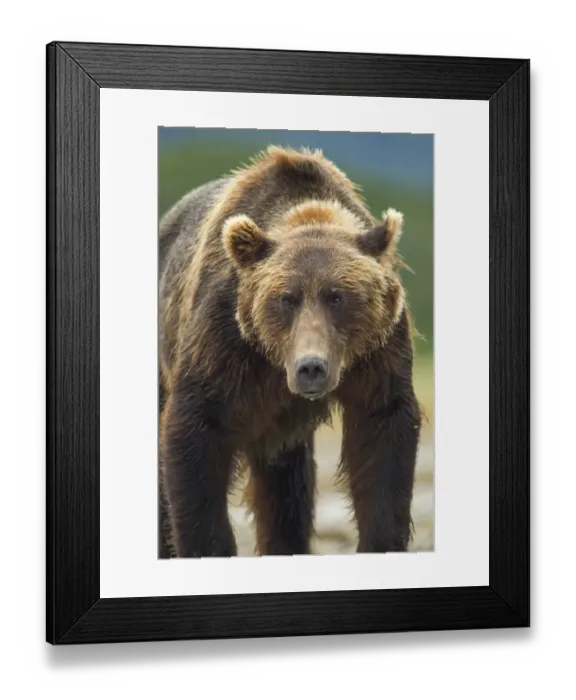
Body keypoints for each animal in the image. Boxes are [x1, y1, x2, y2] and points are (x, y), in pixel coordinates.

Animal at [158, 145, 422, 558]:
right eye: (286, 299)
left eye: (337, 297)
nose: (310, 367)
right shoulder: (224, 338)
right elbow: (196, 429)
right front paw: (206, 546)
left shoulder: (379, 351)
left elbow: (383, 433)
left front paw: (380, 541)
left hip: (283, 431)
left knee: (286, 489)